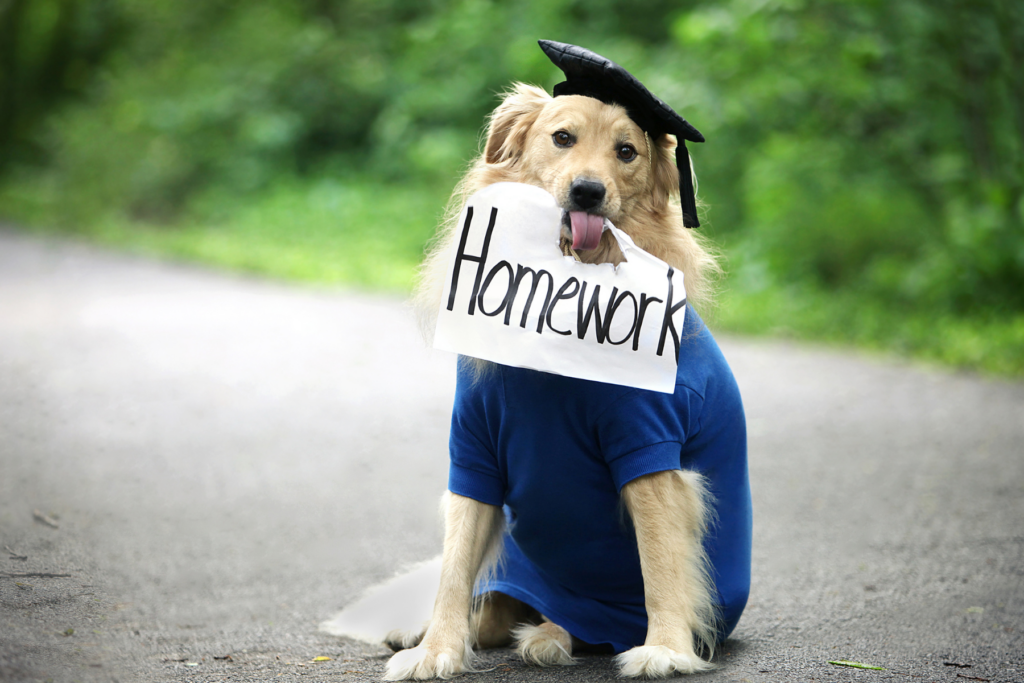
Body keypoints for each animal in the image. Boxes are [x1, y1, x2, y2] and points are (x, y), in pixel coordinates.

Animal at [385, 45, 753, 679]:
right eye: (562, 137)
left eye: (626, 152)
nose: (587, 191)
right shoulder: (474, 448)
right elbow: (455, 567)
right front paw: (435, 651)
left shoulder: (649, 448)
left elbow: (661, 563)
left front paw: (665, 648)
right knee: (493, 606)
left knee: (575, 622)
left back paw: (551, 633)